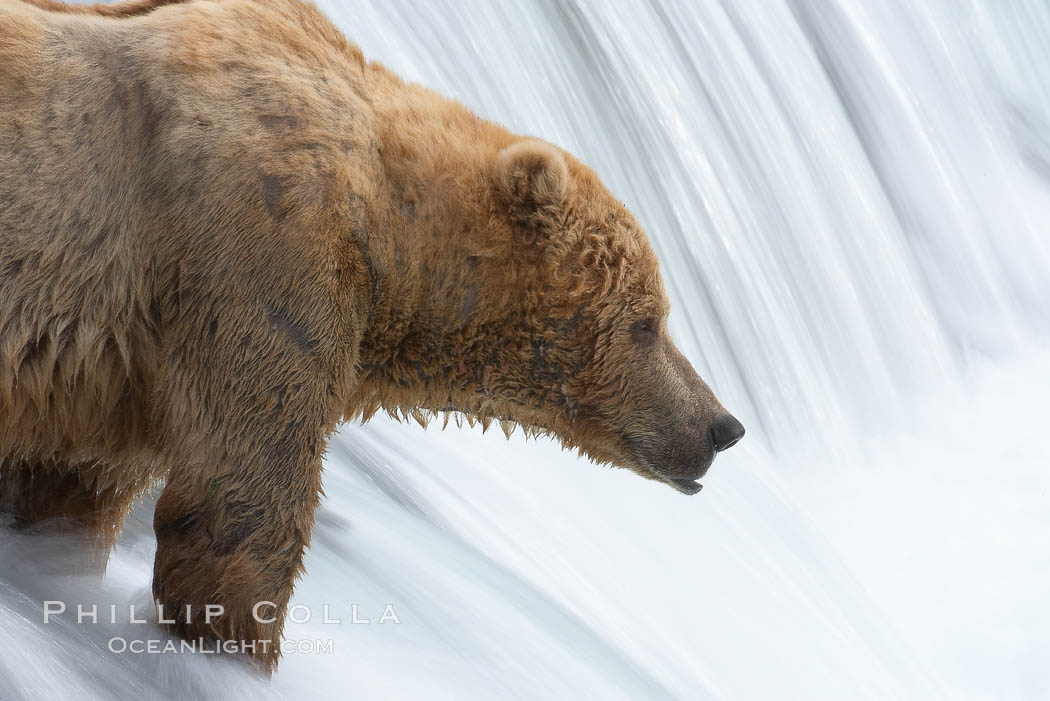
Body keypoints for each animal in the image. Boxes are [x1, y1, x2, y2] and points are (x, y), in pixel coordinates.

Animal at [0, 0, 743, 671]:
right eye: (648, 321)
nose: (722, 425)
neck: (390, 239)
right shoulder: (257, 263)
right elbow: (241, 502)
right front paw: (234, 643)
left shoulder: (110, 380)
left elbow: (72, 496)